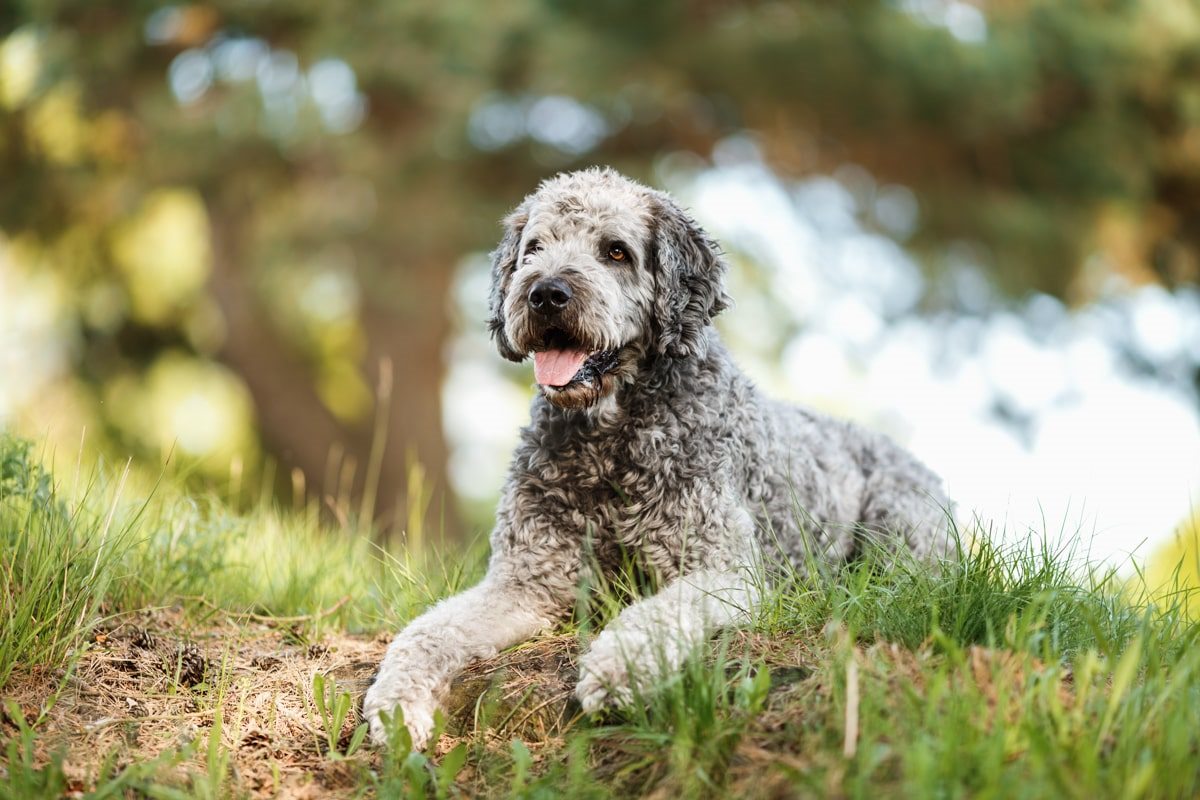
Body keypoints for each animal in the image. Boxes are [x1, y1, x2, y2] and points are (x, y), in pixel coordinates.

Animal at [360, 167, 950, 753]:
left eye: (616, 252)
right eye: (535, 248)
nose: (545, 293)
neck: (608, 444)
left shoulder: (723, 571)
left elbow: (659, 614)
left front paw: (615, 670)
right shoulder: (526, 583)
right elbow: (427, 630)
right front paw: (396, 704)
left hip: (897, 527)